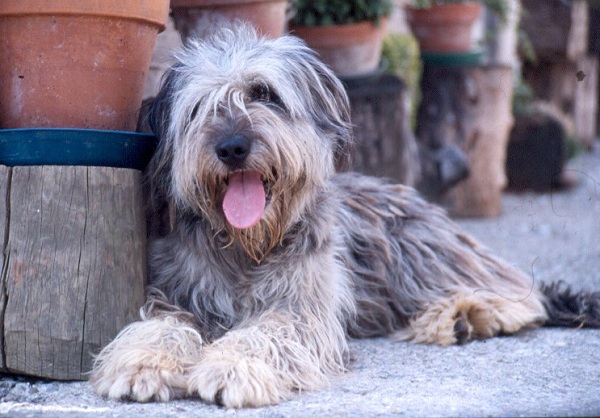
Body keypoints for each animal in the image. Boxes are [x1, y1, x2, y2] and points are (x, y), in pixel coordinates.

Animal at [90, 23, 600, 408]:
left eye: (264, 93)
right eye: (200, 108)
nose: (232, 147)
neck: (247, 247)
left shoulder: (303, 306)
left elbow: (268, 329)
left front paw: (231, 367)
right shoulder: (179, 290)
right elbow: (162, 324)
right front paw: (141, 363)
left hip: (416, 252)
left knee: (518, 291)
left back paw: (467, 314)